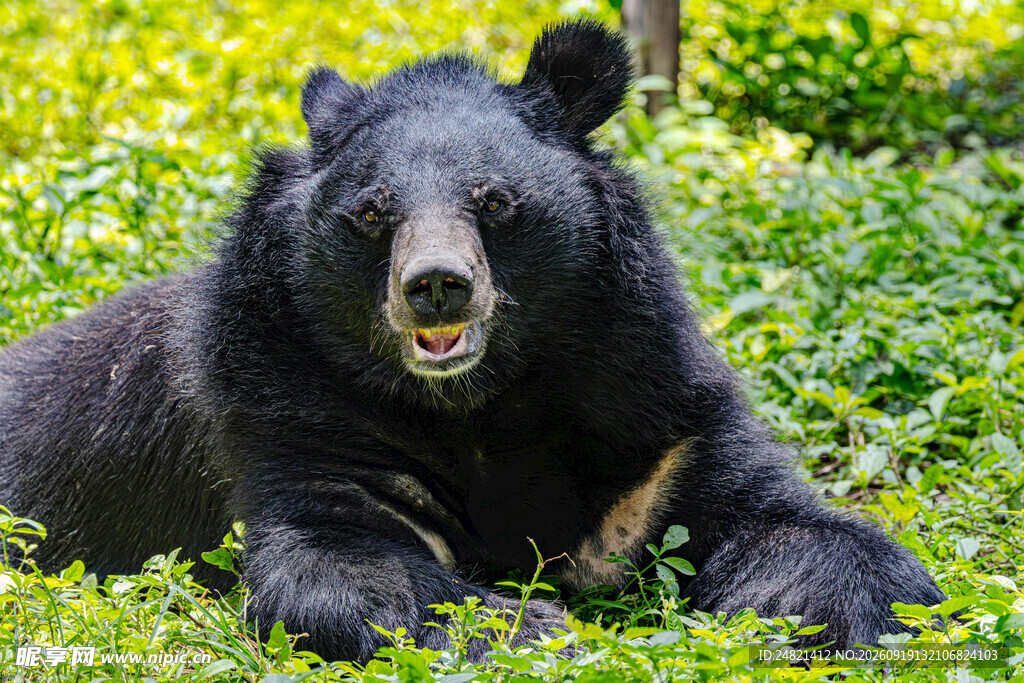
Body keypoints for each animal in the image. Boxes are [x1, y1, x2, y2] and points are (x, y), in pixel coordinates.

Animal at [0, 19, 945, 662]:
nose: (436, 284)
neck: (481, 402)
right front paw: (533, 625)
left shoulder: (651, 403)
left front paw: (876, 618)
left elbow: (784, 523)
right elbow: (337, 569)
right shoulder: (289, 411)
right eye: (372, 212)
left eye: (494, 201)